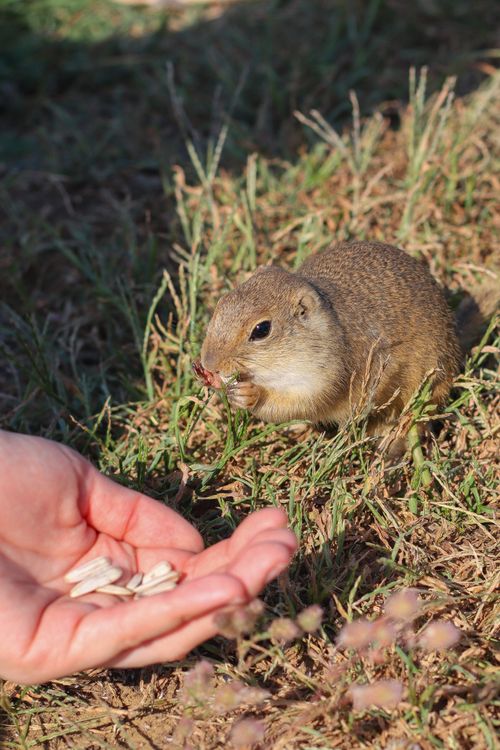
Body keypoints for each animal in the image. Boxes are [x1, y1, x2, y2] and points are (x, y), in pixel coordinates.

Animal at [197, 241, 496, 447]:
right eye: (221, 303)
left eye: (261, 330)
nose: (208, 364)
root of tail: (455, 336)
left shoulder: (325, 377)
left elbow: (297, 405)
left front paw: (249, 395)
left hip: (429, 385)